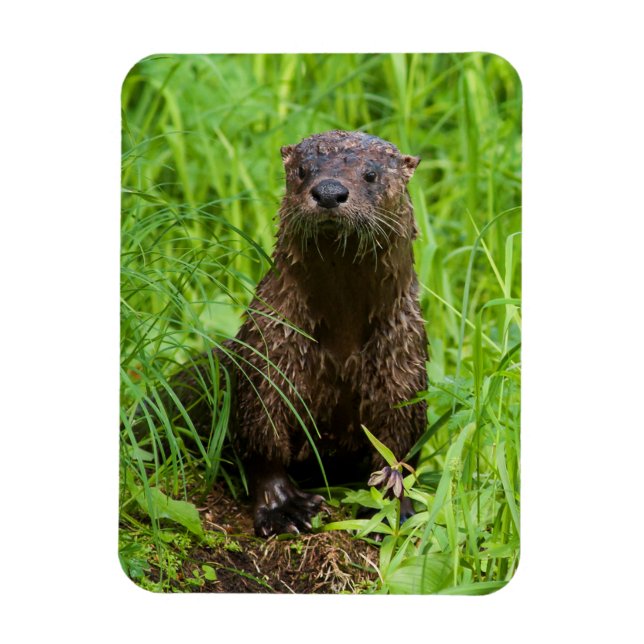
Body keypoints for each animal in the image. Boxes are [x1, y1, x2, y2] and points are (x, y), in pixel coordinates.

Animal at [227, 130, 429, 537]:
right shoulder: (268, 352)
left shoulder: (404, 365)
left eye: (370, 174)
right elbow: (262, 438)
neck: (341, 344)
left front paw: (394, 511)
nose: (330, 191)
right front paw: (284, 508)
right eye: (303, 170)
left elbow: (397, 448)